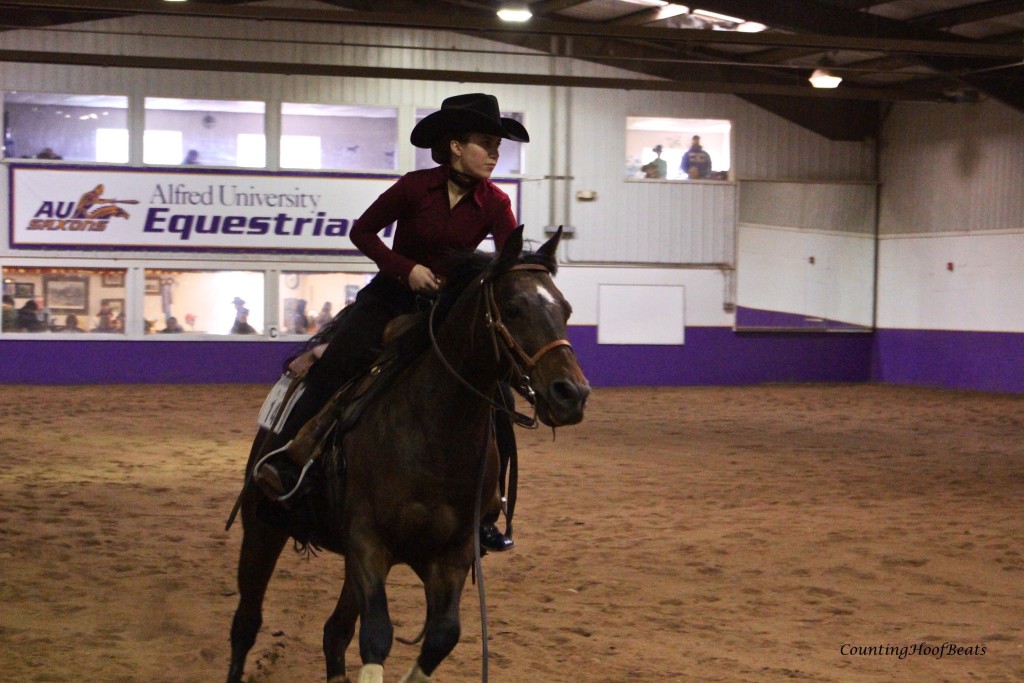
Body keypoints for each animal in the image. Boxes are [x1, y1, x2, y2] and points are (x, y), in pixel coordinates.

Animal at [226, 226, 590, 683]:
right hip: (263, 526)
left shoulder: (451, 554)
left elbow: (442, 635)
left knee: (334, 633)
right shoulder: (368, 542)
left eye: (566, 309)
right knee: (246, 624)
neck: (435, 435)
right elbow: (377, 636)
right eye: (512, 307)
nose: (571, 394)